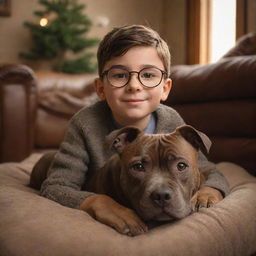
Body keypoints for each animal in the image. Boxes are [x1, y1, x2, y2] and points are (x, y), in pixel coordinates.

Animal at [29, 125, 222, 235]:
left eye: (181, 166)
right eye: (138, 167)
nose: (161, 195)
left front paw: (206, 196)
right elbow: (104, 199)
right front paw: (123, 215)